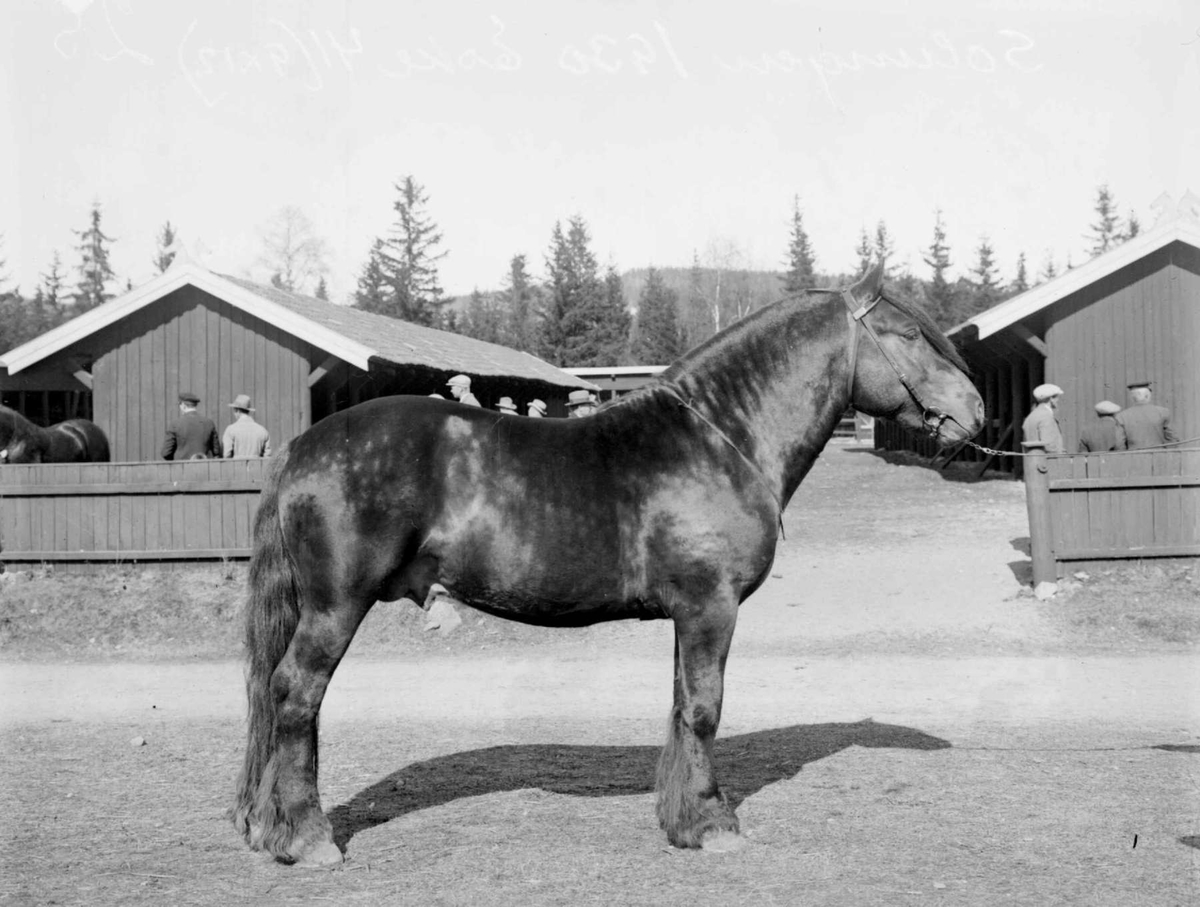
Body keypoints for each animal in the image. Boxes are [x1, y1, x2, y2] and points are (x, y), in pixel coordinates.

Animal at [231, 262, 984, 863]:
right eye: (907, 333)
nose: (976, 410)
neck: (720, 438)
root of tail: (301, 446)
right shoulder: (711, 606)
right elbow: (704, 709)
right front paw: (714, 826)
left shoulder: (690, 613)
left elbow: (682, 705)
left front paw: (682, 821)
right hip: (336, 606)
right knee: (294, 694)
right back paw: (310, 838)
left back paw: (274, 828)